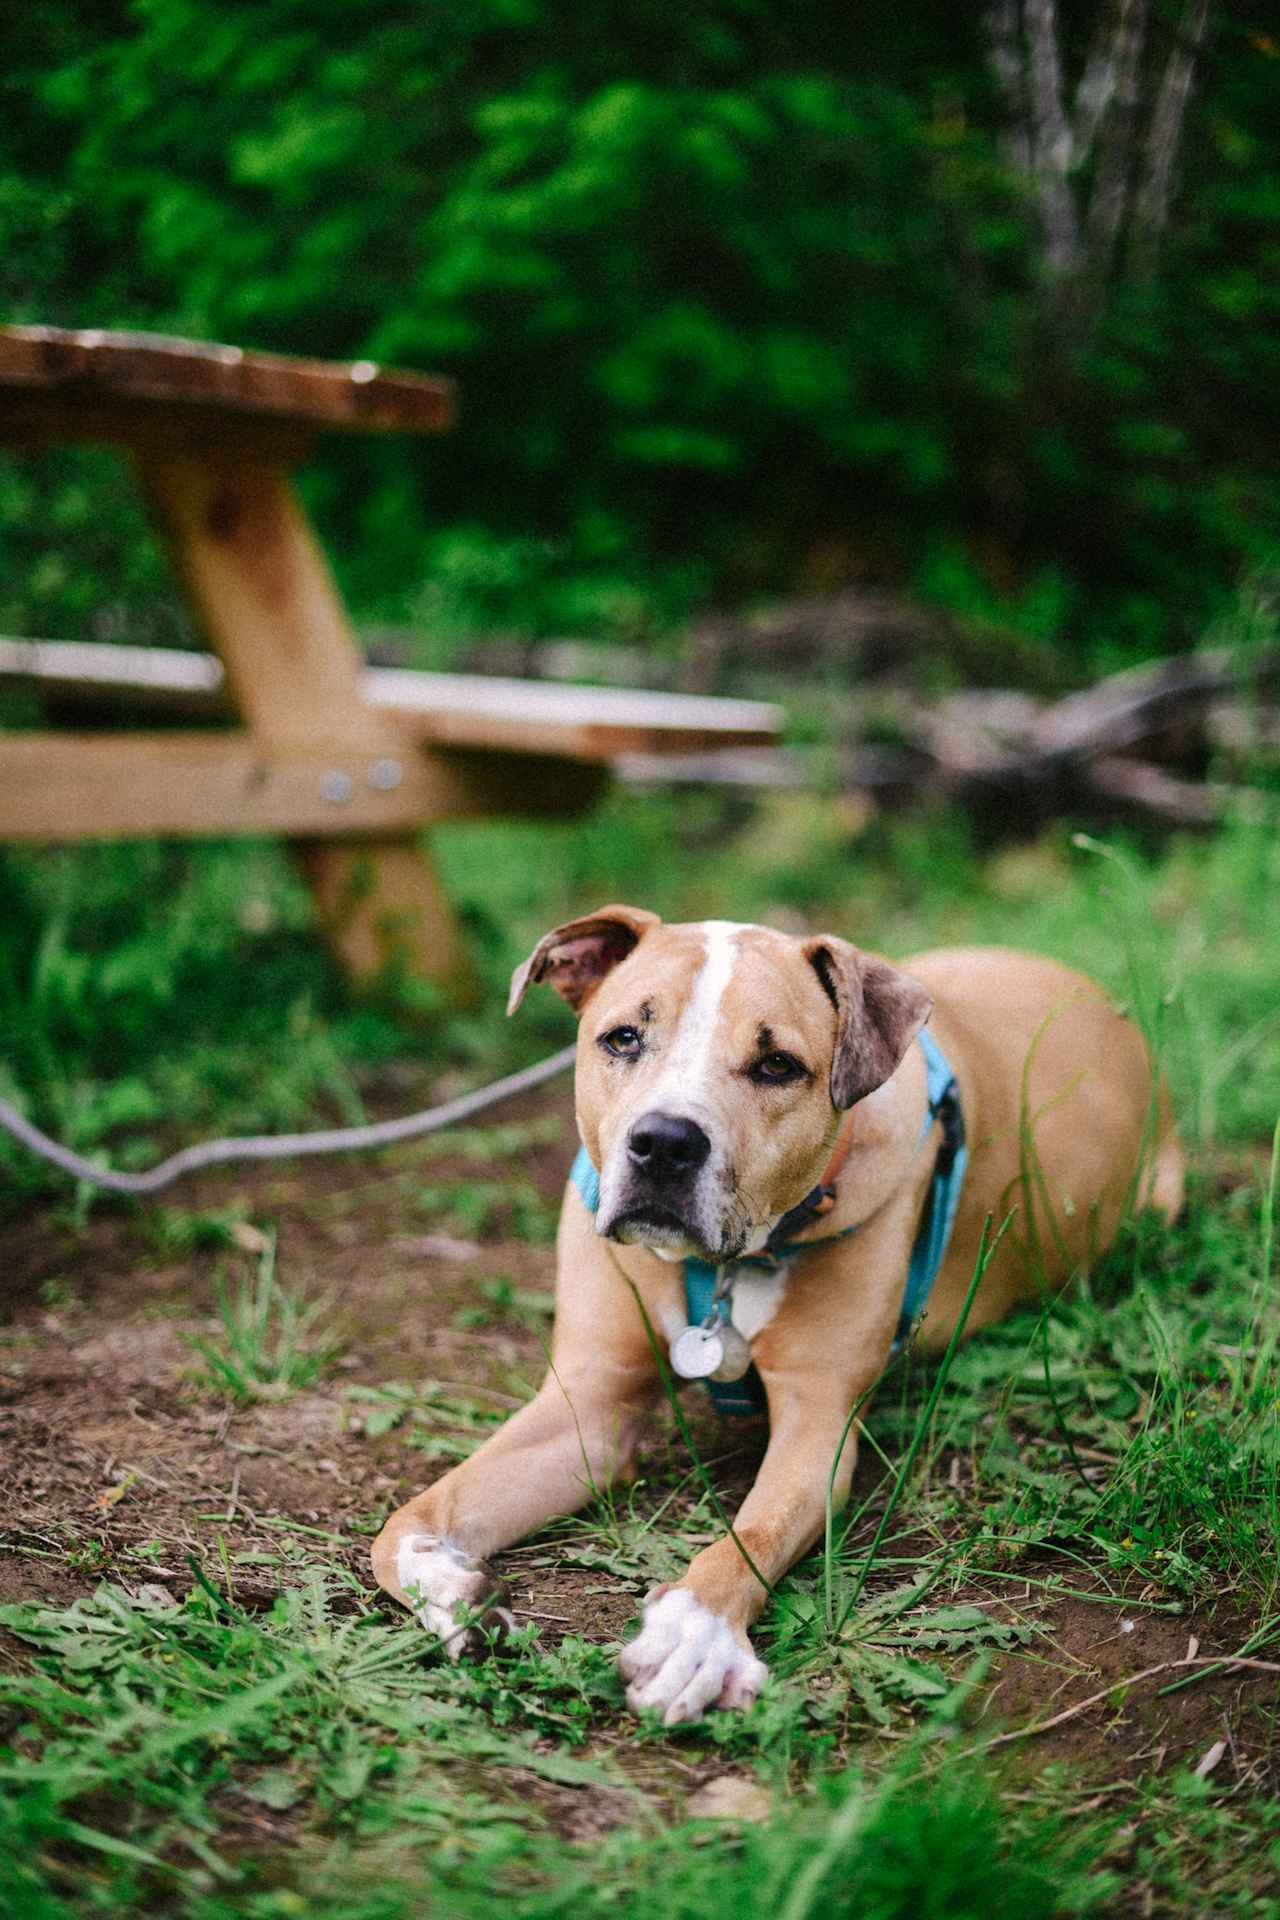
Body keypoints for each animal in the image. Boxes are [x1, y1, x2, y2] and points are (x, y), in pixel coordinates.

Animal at [376, 910, 1189, 1728]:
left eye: (777, 1066)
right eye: (624, 1038)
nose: (664, 1142)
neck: (725, 1269)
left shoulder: (818, 1423)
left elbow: (754, 1532)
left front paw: (693, 1632)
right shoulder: (589, 1402)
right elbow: (404, 1522)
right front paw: (452, 1591)